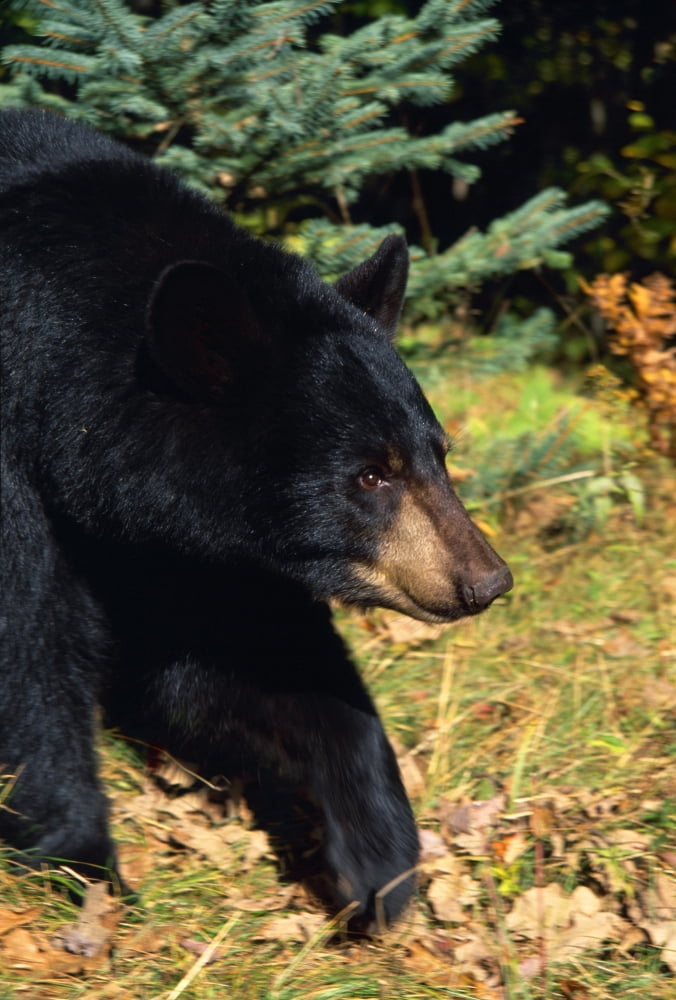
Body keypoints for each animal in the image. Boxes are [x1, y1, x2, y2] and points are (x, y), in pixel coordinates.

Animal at [0, 109, 512, 930]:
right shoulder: (19, 470)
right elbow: (28, 647)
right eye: (370, 475)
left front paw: (378, 859)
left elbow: (240, 654)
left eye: (437, 453)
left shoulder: (176, 541)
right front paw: (86, 871)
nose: (485, 580)